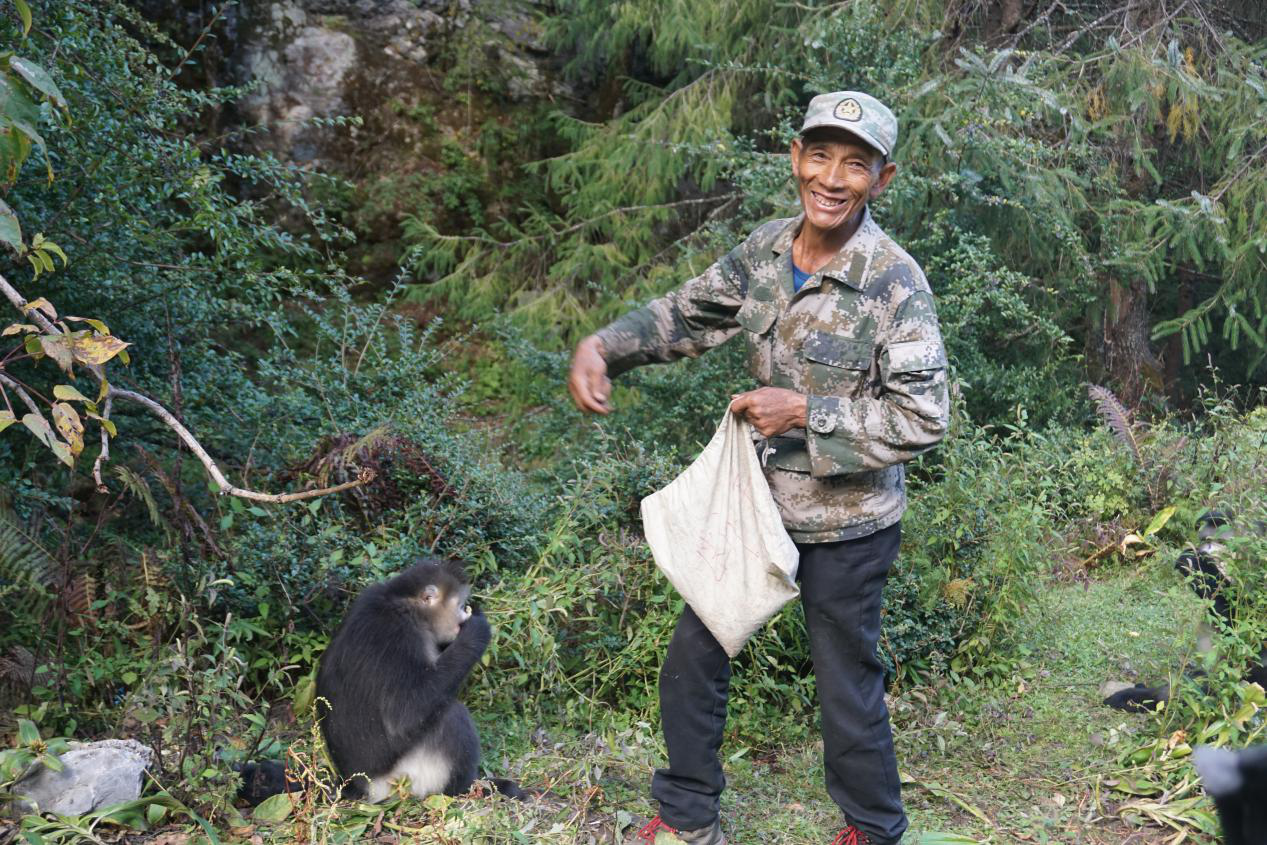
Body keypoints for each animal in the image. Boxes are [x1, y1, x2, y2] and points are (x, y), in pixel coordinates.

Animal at [312, 557, 519, 805]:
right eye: (460, 605)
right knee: (451, 715)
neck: (406, 604)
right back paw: (468, 788)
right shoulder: (401, 634)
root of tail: (358, 786)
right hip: (404, 779)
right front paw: (477, 629)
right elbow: (404, 715)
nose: (463, 616)